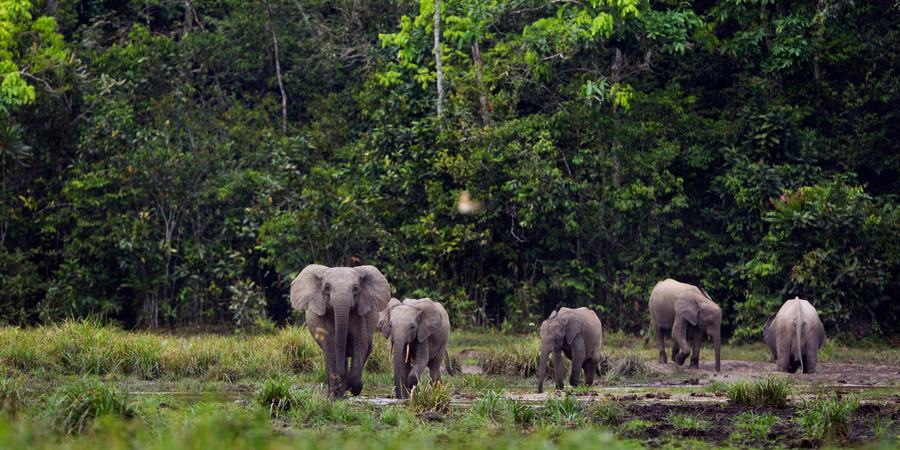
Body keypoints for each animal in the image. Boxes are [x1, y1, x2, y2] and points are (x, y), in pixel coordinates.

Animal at [290, 264, 391, 398]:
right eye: (327, 288)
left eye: (355, 288)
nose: (340, 377)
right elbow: (330, 344)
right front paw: (335, 396)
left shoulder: (358, 315)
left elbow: (359, 344)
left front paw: (354, 387)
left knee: (366, 348)